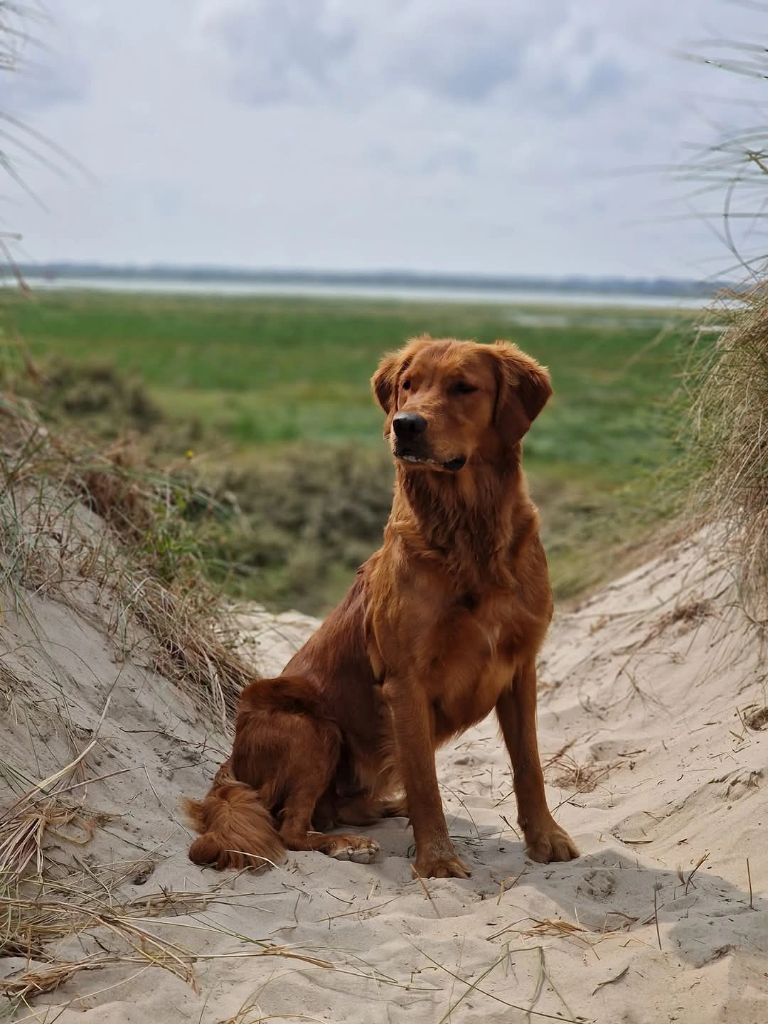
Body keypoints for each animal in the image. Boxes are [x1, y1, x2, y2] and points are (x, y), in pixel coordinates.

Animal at [186, 337, 581, 880]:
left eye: (463, 387)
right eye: (408, 385)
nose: (406, 424)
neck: (467, 532)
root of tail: (233, 764)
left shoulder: (520, 666)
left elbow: (529, 765)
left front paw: (545, 837)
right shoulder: (405, 680)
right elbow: (426, 781)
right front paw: (437, 859)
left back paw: (381, 810)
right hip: (312, 727)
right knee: (290, 826)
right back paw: (346, 843)